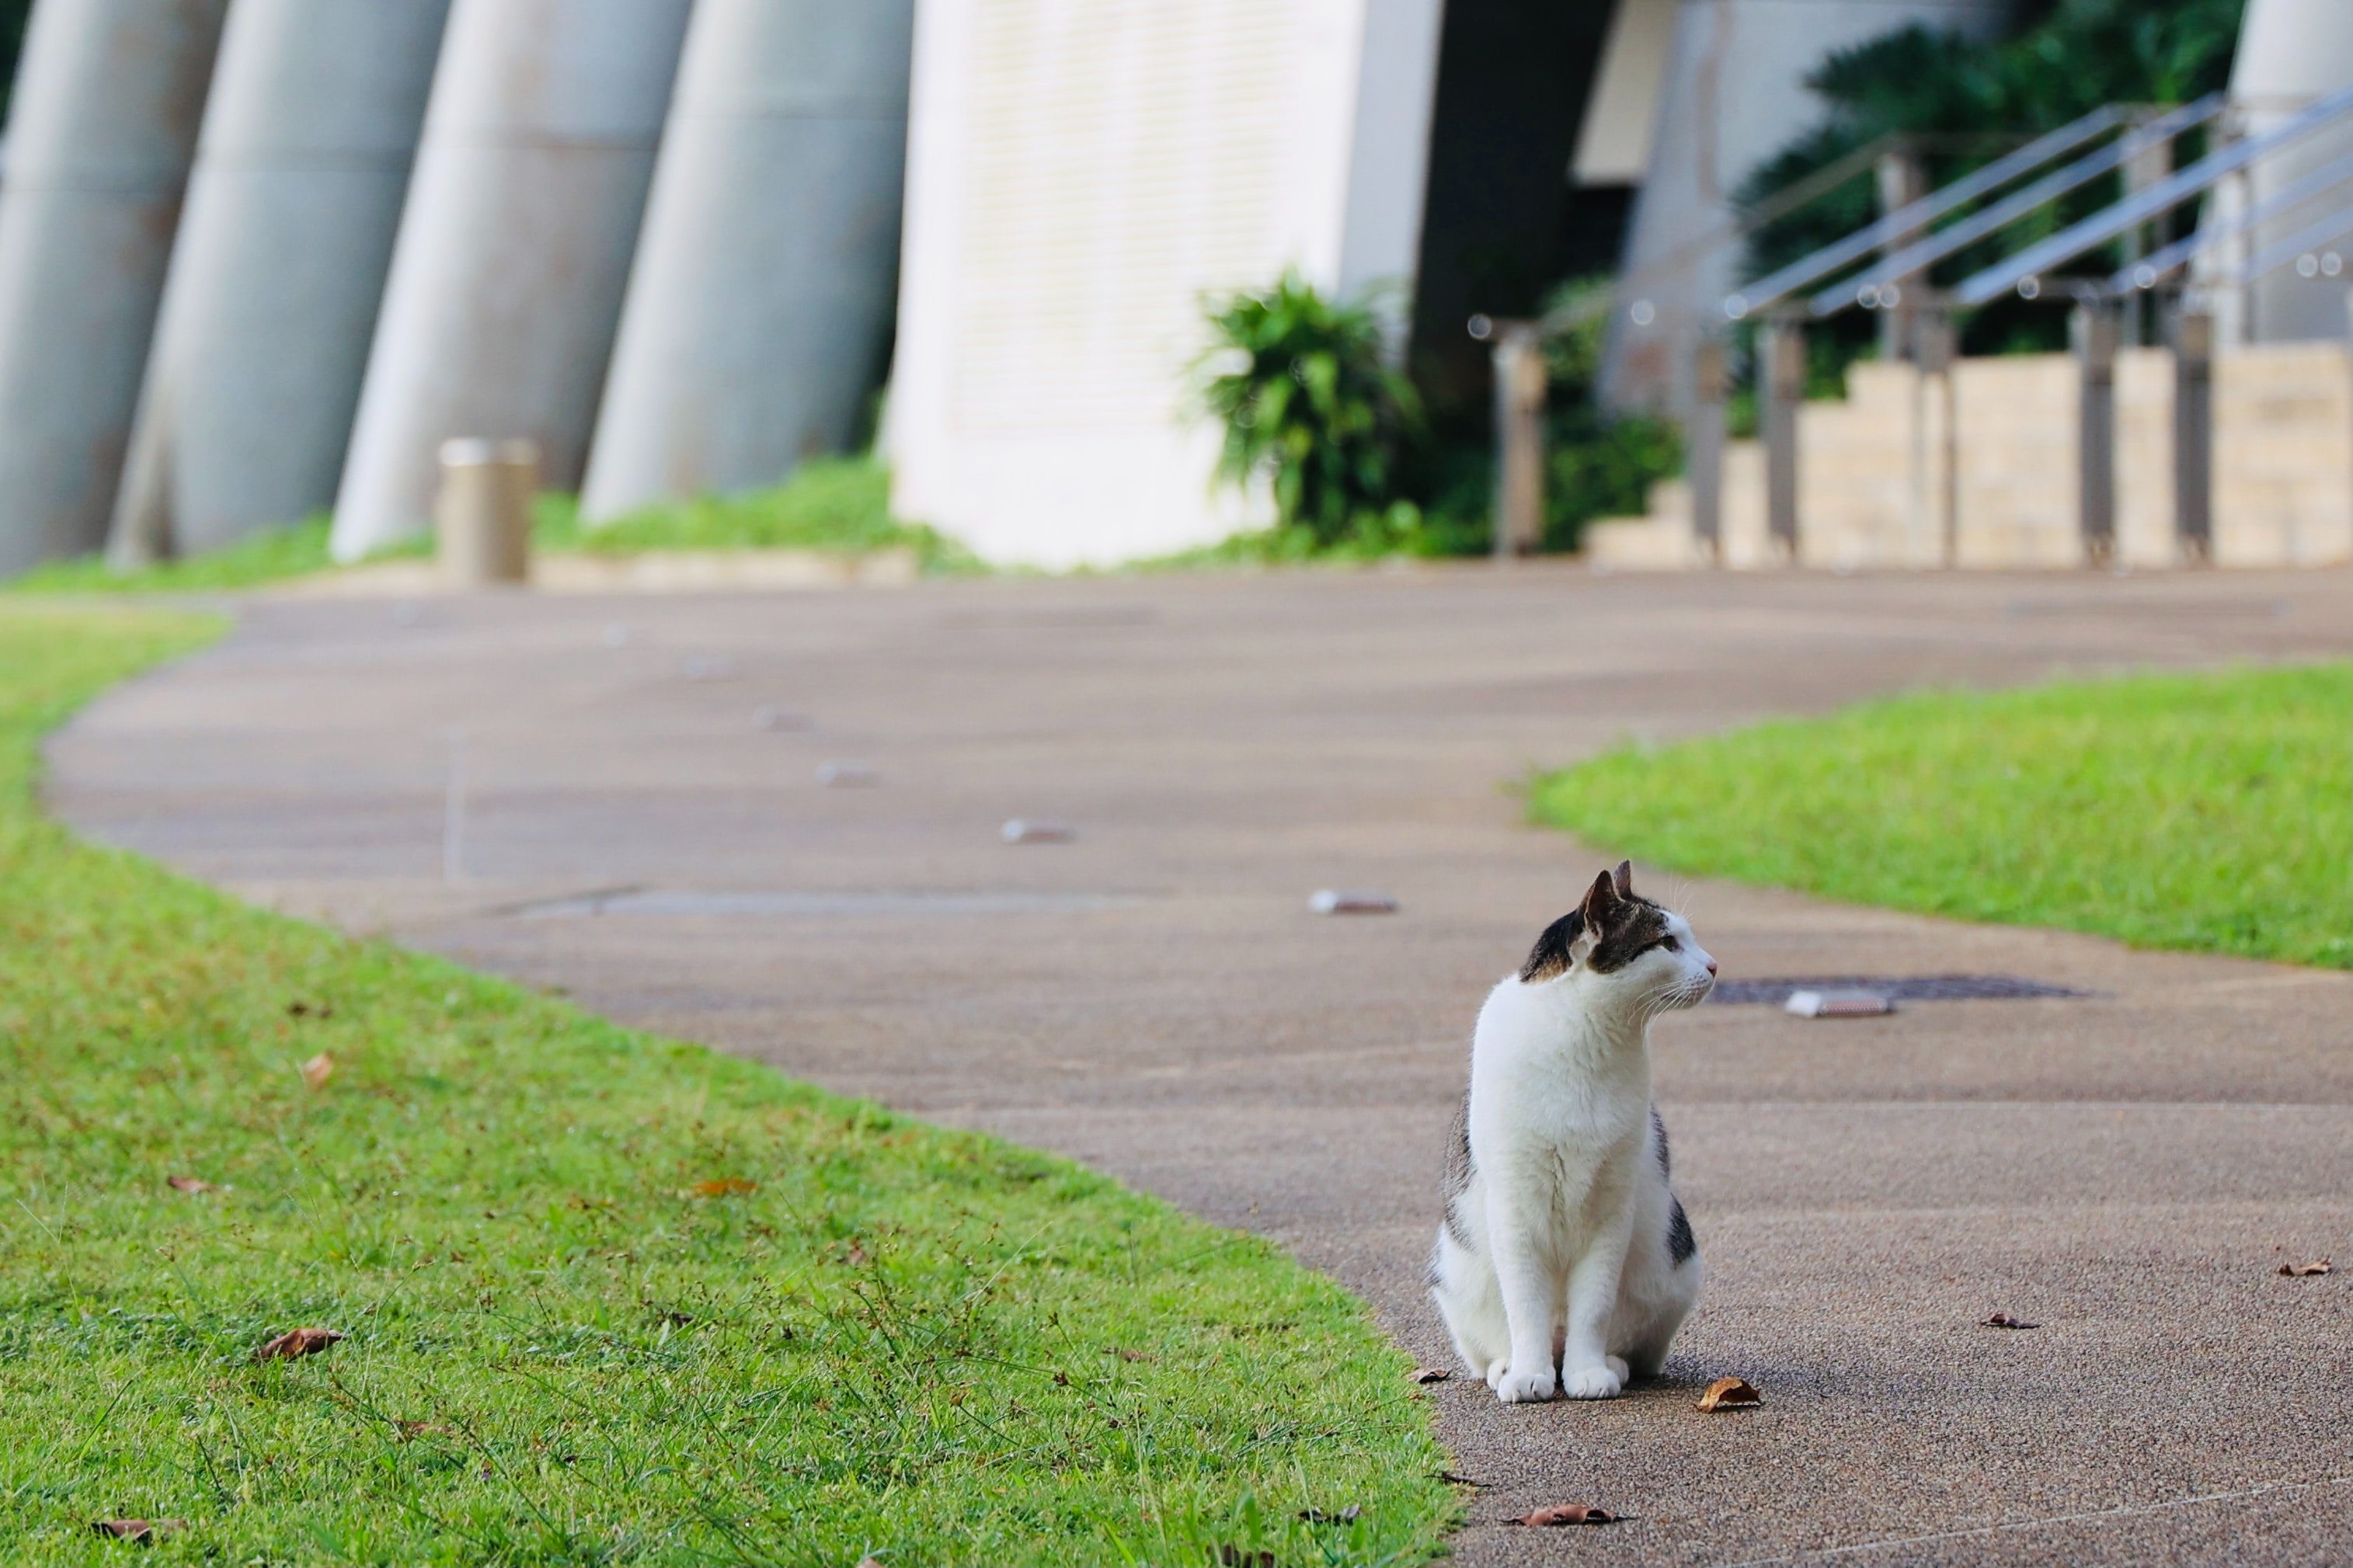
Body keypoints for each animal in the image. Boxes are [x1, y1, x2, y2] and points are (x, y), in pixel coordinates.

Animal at [1421, 864, 1722, 1401]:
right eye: (1667, 942)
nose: (1714, 966)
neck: (1587, 1038)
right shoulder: (1514, 1211)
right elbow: (1525, 1306)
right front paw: (1527, 1374)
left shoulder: (1610, 1212)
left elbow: (1593, 1308)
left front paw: (1588, 1372)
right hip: (1453, 1270)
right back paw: (1508, 1366)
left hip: (1675, 1265)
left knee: (1632, 1345)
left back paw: (1610, 1364)